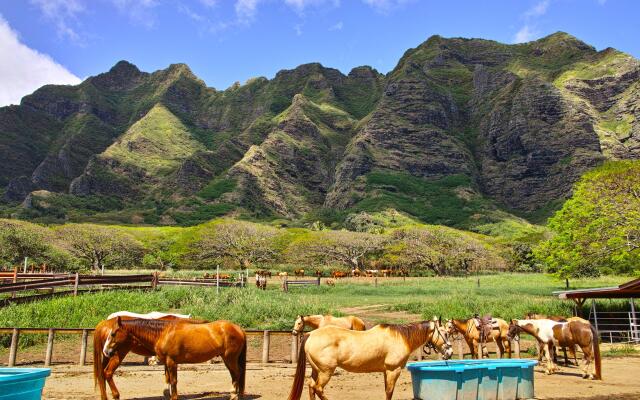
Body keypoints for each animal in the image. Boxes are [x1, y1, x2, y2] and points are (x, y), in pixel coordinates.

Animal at [102, 316, 248, 400]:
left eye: (113, 334)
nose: (107, 351)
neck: (163, 333)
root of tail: (238, 328)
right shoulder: (168, 362)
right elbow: (169, 381)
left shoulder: (172, 362)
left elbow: (173, 382)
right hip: (228, 359)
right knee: (235, 374)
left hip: (230, 358)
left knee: (237, 373)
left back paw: (234, 395)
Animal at [288, 322, 452, 400]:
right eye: (444, 333)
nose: (449, 352)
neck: (400, 337)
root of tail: (311, 334)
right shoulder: (393, 370)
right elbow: (389, 392)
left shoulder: (386, 372)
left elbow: (387, 392)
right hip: (326, 372)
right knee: (318, 388)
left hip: (317, 370)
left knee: (311, 387)